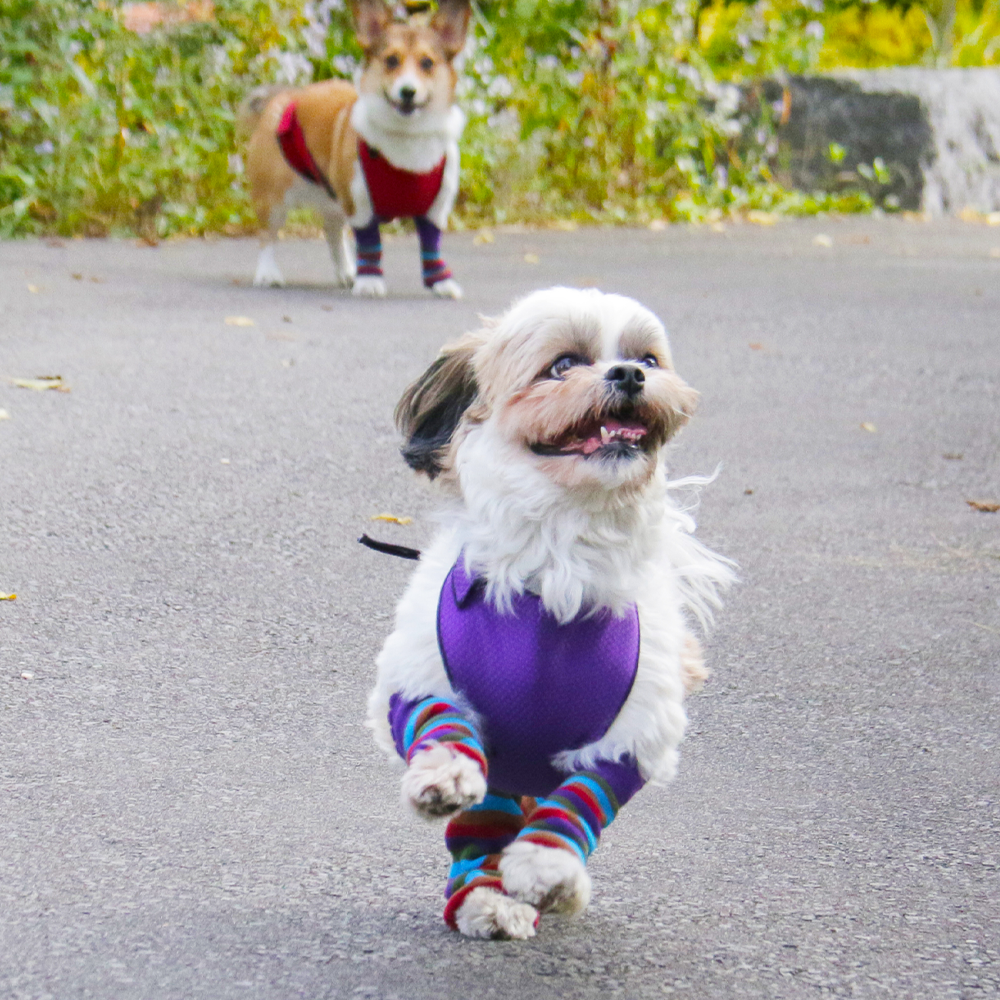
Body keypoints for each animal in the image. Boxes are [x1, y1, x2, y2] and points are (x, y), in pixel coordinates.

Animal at [245, 0, 472, 296]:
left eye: (427, 63)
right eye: (391, 60)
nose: (407, 92)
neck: (407, 137)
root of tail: (284, 96)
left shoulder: (436, 209)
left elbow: (431, 245)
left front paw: (441, 283)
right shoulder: (360, 204)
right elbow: (370, 242)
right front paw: (370, 282)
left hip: (332, 198)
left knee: (332, 232)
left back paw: (347, 272)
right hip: (273, 198)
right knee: (267, 237)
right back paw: (268, 273)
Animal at [368, 288, 736, 936]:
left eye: (650, 359)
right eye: (563, 365)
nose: (629, 374)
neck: (560, 554)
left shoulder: (634, 733)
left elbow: (579, 801)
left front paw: (548, 867)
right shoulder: (415, 678)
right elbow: (442, 725)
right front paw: (442, 774)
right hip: (500, 776)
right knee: (482, 827)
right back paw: (484, 900)